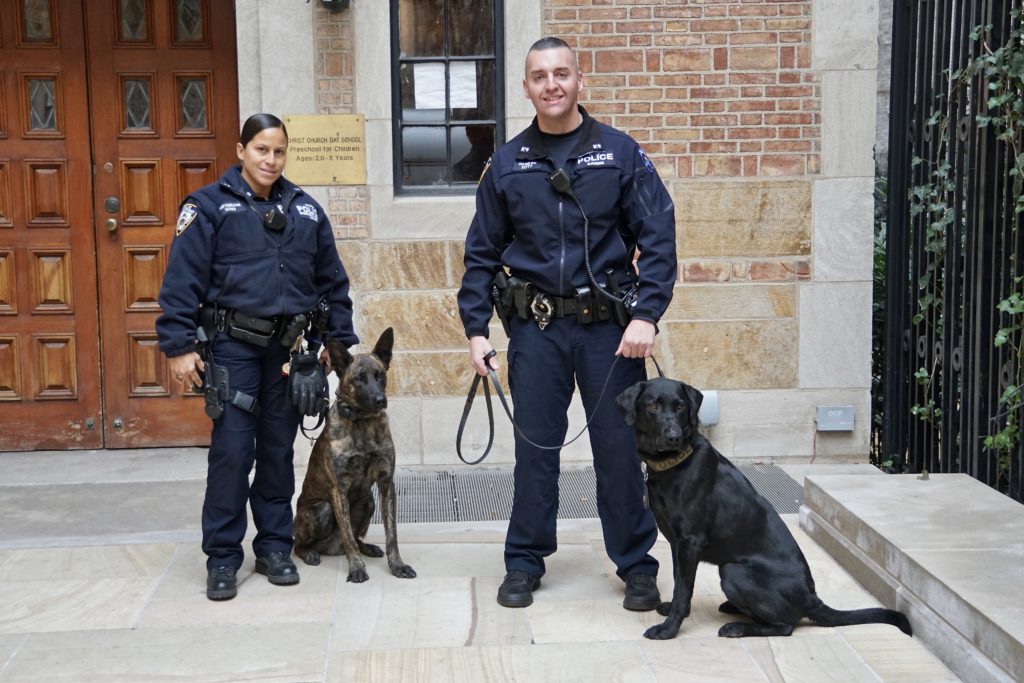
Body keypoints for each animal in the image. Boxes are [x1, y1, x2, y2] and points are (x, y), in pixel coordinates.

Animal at [292, 327, 415, 585]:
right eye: (358, 378)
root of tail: (330, 548)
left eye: (380, 375)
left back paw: (367, 547)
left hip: (368, 501)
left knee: (357, 538)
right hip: (320, 509)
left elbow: (391, 534)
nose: (380, 400)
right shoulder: (338, 490)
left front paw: (397, 565)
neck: (362, 422)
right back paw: (310, 553)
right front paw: (357, 568)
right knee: (300, 544)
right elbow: (348, 537)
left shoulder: (386, 483)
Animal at [614, 378, 913, 643]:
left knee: (785, 626)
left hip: (733, 572)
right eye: (653, 406)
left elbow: (684, 589)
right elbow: (679, 584)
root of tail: (812, 598)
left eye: (679, 406)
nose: (673, 437)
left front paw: (669, 628)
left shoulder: (690, 542)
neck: (674, 464)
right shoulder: (677, 544)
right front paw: (671, 610)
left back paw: (737, 627)